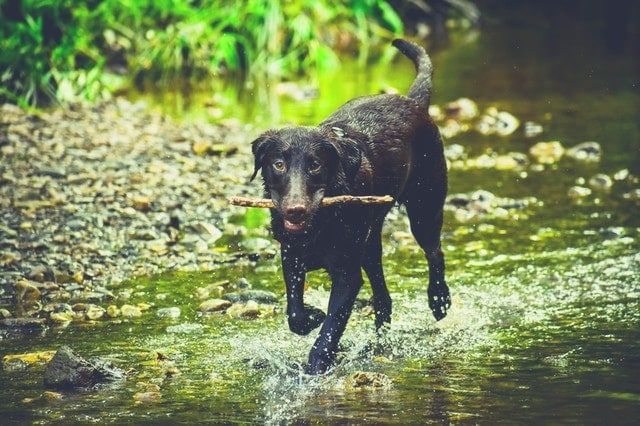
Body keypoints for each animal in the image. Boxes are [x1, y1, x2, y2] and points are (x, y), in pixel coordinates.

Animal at [250, 38, 450, 374]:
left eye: (315, 165)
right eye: (278, 164)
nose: (295, 210)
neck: (320, 224)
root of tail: (413, 102)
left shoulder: (346, 274)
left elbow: (332, 327)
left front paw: (318, 364)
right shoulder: (291, 256)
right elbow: (295, 313)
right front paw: (312, 317)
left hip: (425, 208)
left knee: (435, 253)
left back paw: (439, 300)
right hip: (370, 245)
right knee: (383, 298)